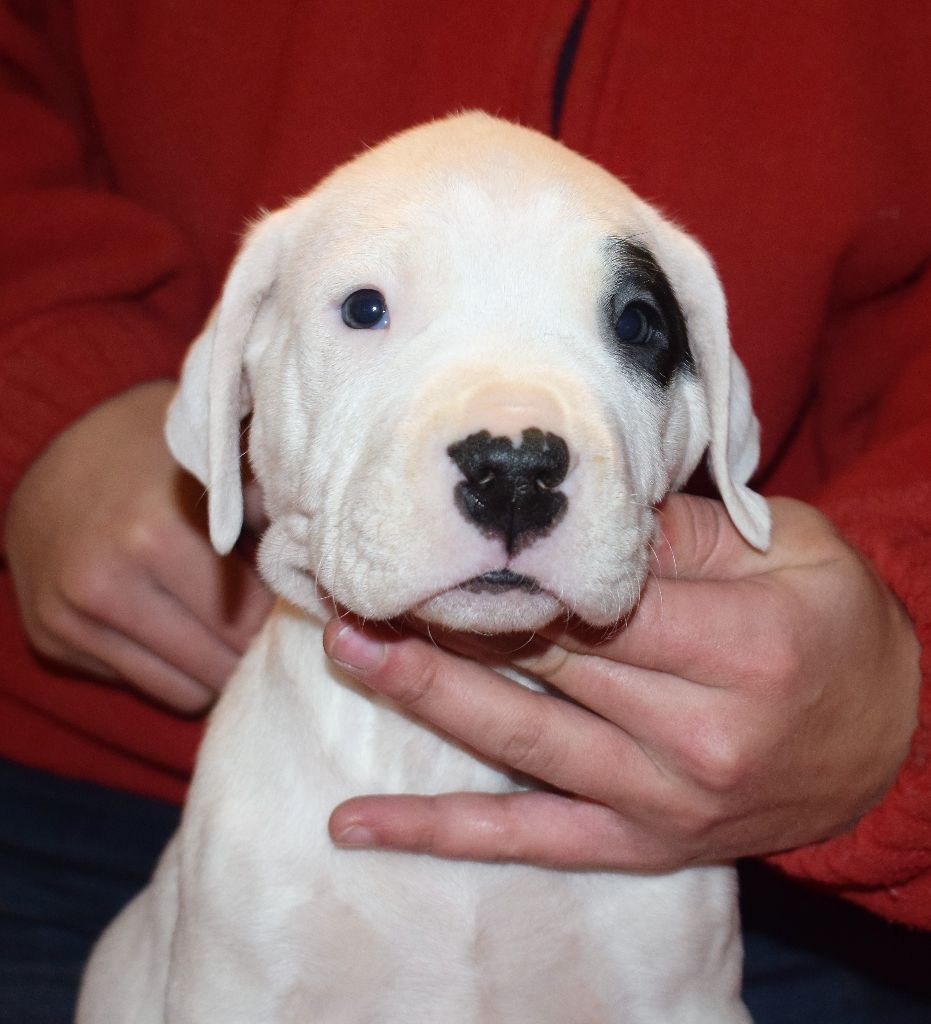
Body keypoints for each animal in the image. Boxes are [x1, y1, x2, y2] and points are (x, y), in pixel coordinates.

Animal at [76, 112, 771, 1023]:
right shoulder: (239, 981)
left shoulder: (678, 989)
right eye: (364, 308)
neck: (441, 761)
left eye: (636, 323)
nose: (513, 470)